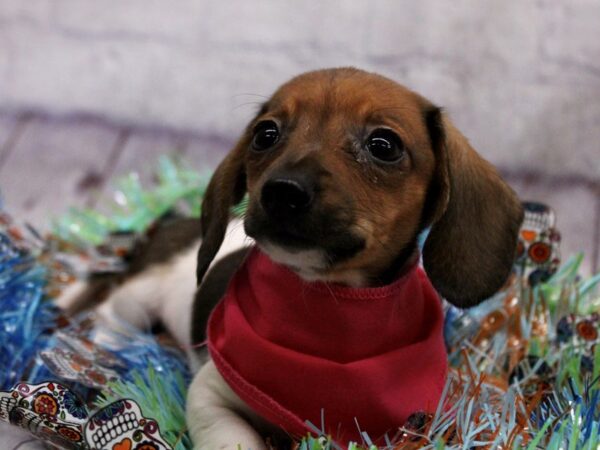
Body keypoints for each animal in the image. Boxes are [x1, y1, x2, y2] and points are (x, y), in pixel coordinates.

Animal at [77, 68, 524, 448]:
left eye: (384, 145)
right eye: (265, 134)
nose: (282, 191)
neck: (330, 307)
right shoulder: (210, 395)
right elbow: (237, 439)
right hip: (139, 297)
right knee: (110, 311)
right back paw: (108, 343)